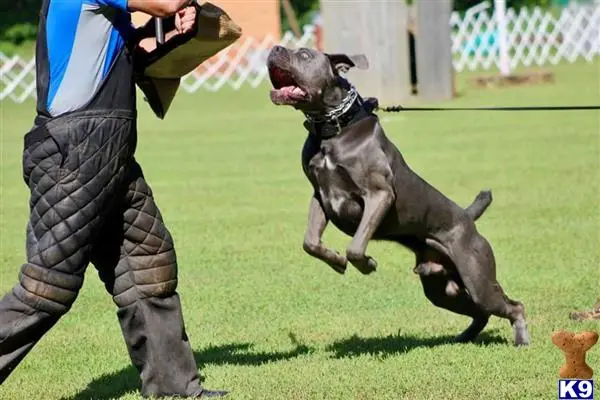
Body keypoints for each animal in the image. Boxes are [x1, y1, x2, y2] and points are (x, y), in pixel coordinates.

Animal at [268, 43, 528, 346]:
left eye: (305, 55)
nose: (274, 48)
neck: (333, 132)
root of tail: (467, 218)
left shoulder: (378, 195)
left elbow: (356, 245)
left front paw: (366, 264)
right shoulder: (320, 196)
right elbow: (310, 242)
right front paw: (337, 262)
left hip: (477, 276)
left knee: (512, 305)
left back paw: (522, 340)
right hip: (440, 288)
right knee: (479, 311)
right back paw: (463, 337)